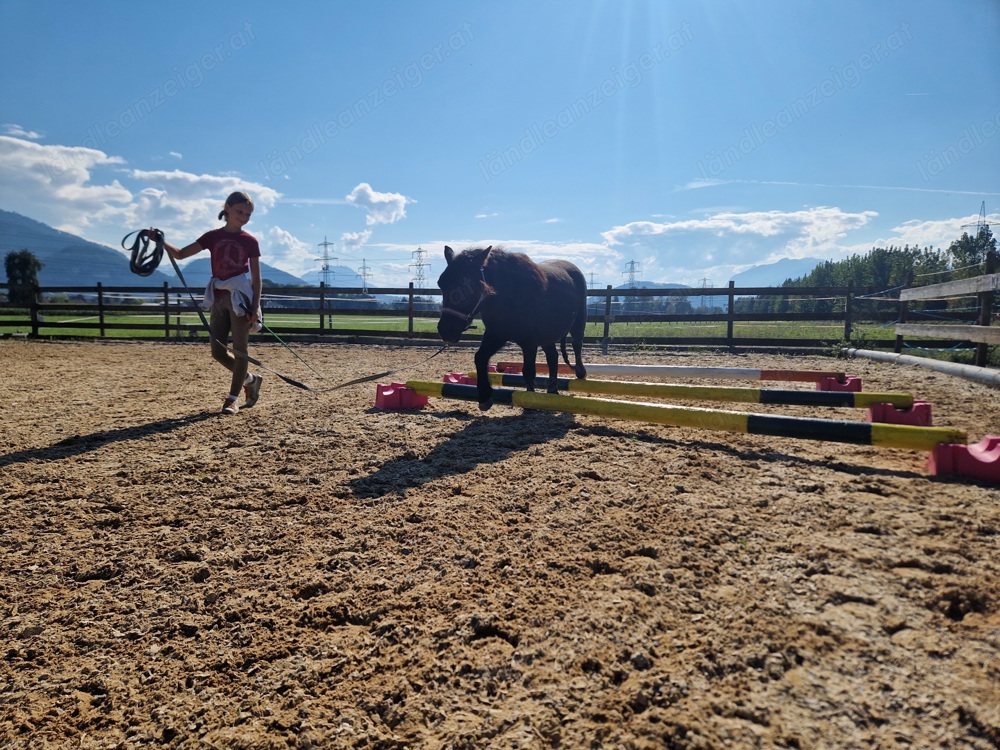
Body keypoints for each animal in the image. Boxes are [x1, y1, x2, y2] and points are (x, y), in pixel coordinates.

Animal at [436, 247, 584, 412]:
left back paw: (580, 373)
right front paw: (485, 397)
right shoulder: (496, 334)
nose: (446, 330)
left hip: (578, 323)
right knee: (553, 356)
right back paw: (552, 391)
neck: (510, 294)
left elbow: (528, 371)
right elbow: (480, 358)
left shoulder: (529, 342)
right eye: (441, 284)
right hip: (547, 337)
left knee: (577, 345)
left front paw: (529, 403)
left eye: (468, 286)